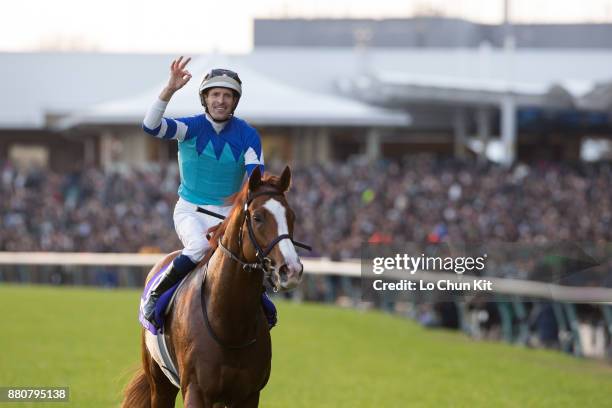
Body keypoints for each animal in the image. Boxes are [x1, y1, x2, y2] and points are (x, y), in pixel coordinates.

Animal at [123, 167, 304, 408]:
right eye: (257, 217)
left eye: (292, 216)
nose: (291, 269)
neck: (230, 326)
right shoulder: (196, 390)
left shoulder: (248, 394)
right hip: (159, 383)